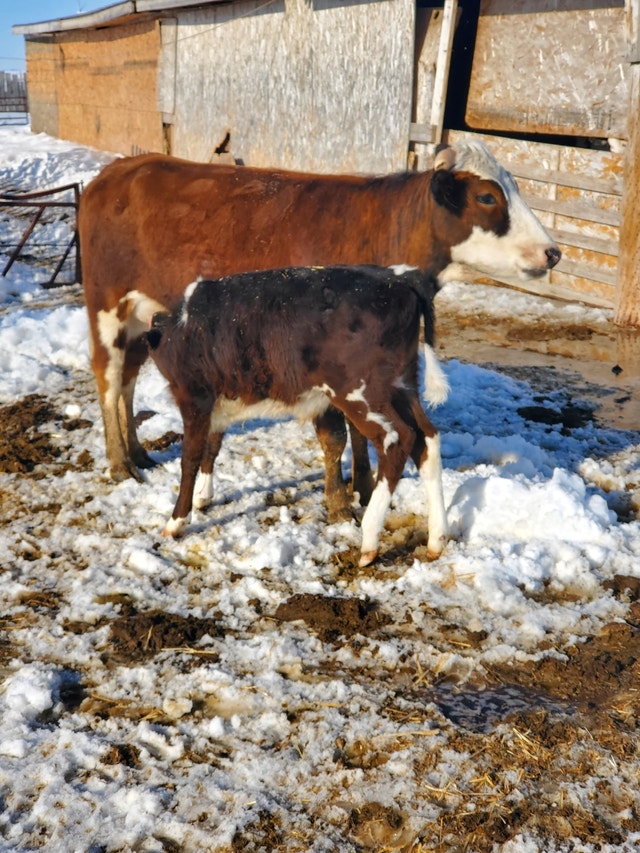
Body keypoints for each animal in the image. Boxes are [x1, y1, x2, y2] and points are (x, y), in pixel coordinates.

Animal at [79, 140, 560, 520]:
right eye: (487, 197)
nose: (553, 252)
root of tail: (119, 168)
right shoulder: (321, 365)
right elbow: (335, 437)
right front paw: (340, 502)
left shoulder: (360, 372)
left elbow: (360, 434)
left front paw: (364, 488)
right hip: (106, 304)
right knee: (108, 377)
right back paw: (120, 463)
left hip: (144, 317)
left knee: (128, 379)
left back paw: (138, 451)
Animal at [145, 265, 447, 567]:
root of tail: (399, 277)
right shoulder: (220, 402)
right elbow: (212, 446)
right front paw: (203, 497)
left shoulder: (193, 396)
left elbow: (190, 458)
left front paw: (176, 522)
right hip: (403, 386)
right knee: (426, 439)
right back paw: (437, 538)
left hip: (361, 392)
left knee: (397, 440)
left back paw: (369, 541)